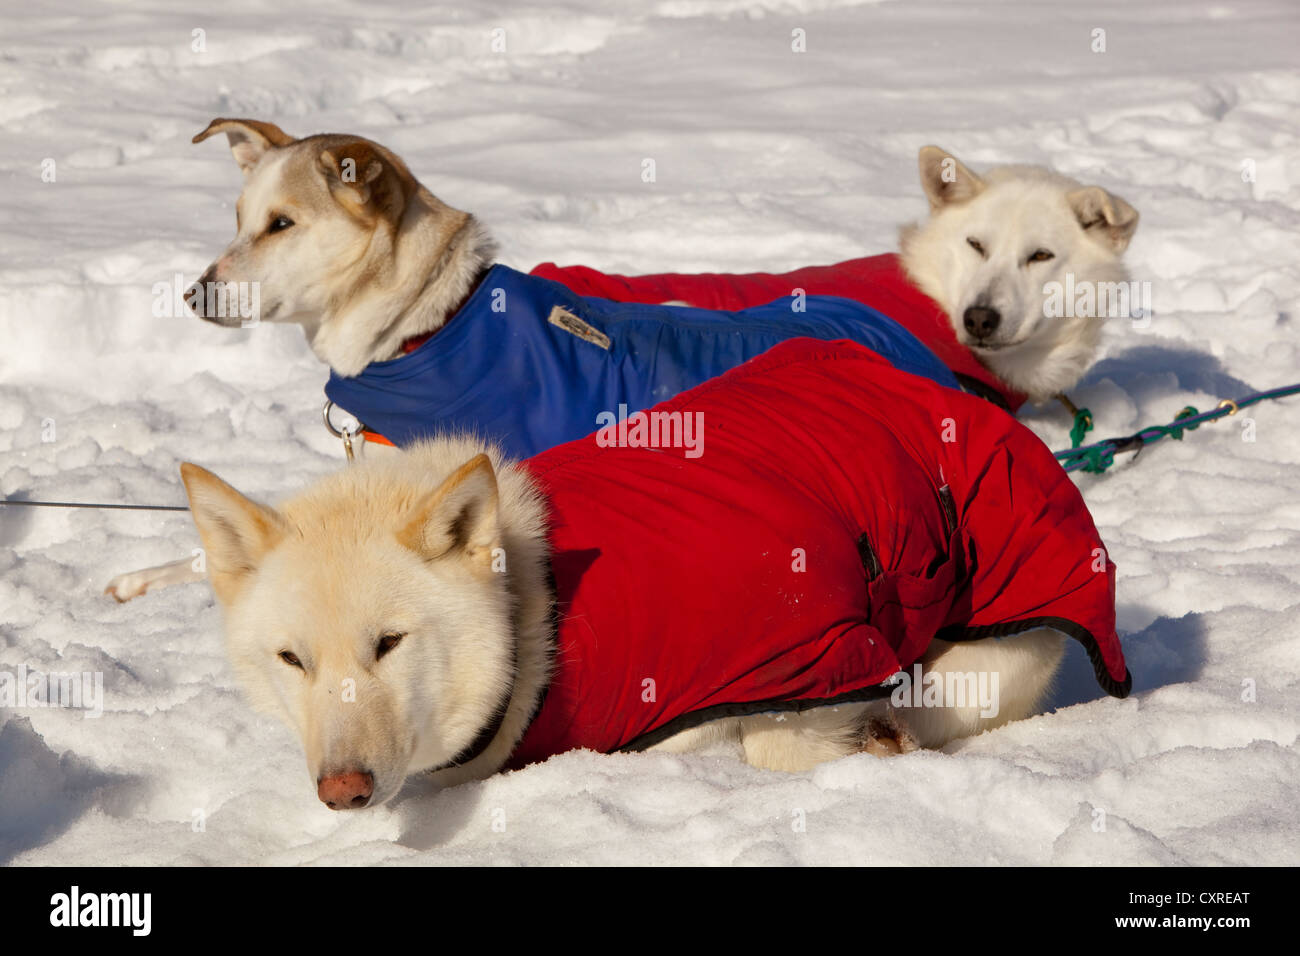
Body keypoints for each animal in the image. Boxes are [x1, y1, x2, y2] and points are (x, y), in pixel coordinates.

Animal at [175, 437, 1066, 811]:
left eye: (389, 644)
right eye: (291, 660)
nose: (343, 791)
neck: (538, 615)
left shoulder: (802, 648)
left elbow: (776, 740)